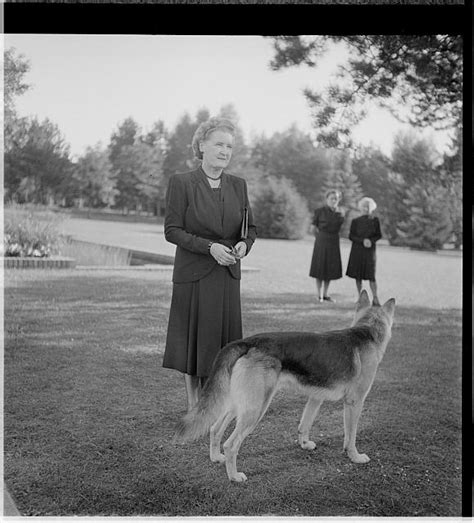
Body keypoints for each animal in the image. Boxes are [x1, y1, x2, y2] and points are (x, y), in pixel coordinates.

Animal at [174, 290, 396, 484]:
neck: (367, 331)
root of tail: (248, 341)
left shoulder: (316, 398)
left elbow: (305, 424)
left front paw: (305, 444)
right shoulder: (354, 402)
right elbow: (351, 436)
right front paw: (355, 456)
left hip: (240, 405)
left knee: (214, 429)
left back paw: (216, 457)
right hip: (256, 409)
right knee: (231, 445)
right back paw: (234, 477)